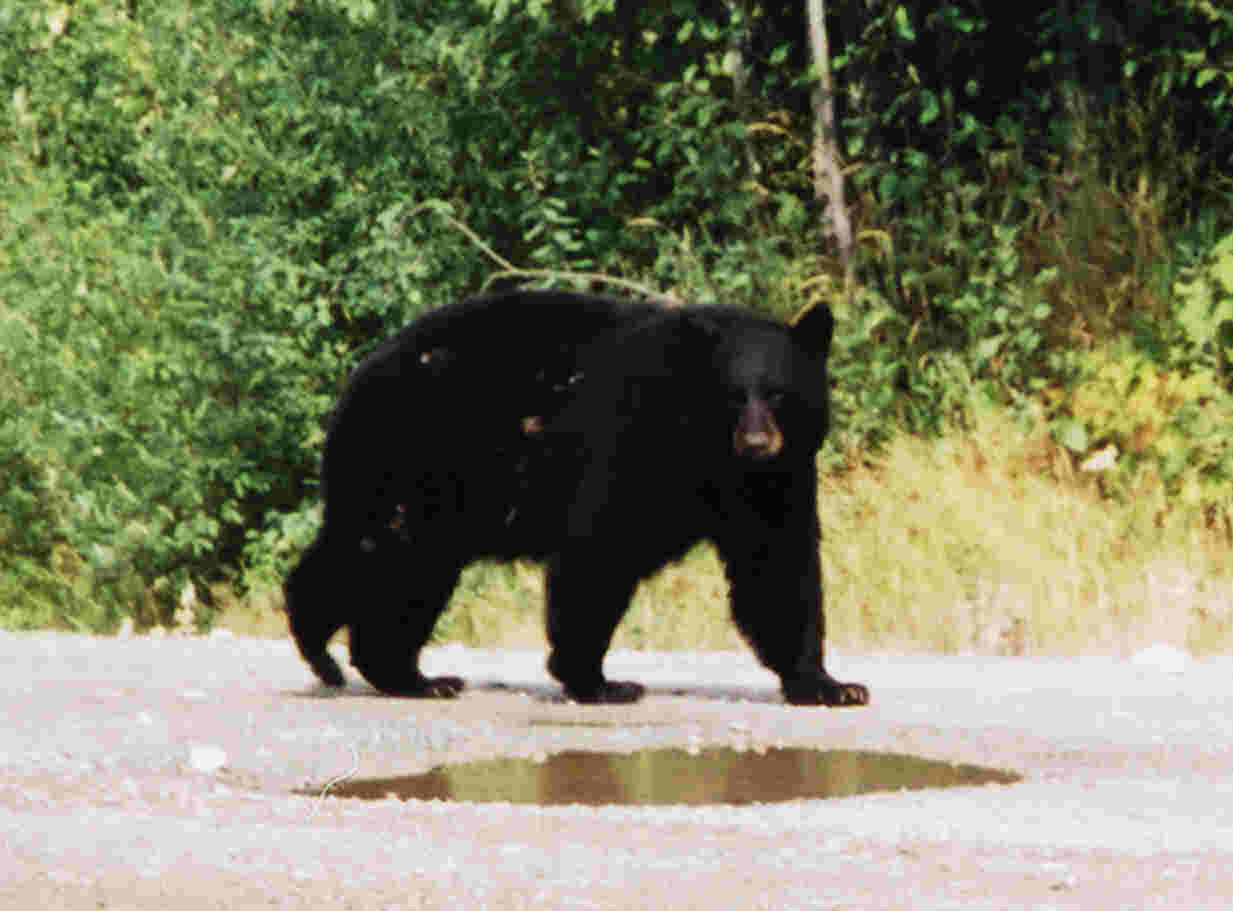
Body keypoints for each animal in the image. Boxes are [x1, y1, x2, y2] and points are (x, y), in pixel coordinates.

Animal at [284, 288, 868, 706]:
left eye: (778, 394)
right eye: (732, 397)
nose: (756, 444)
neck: (704, 449)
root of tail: (362, 370)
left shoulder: (775, 482)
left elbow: (776, 565)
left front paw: (829, 685)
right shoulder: (630, 436)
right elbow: (600, 545)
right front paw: (598, 682)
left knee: (395, 568)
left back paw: (401, 674)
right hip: (414, 460)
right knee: (383, 555)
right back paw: (346, 657)